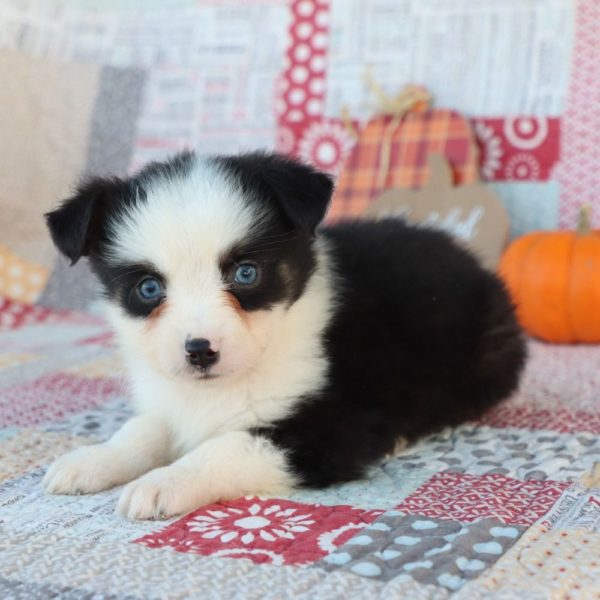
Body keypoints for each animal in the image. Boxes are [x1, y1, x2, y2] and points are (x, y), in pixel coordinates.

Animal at [42, 151, 524, 520]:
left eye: (246, 273)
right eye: (148, 289)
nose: (200, 352)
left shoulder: (328, 428)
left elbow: (228, 445)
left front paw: (164, 481)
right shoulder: (170, 397)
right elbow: (141, 429)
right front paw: (93, 459)